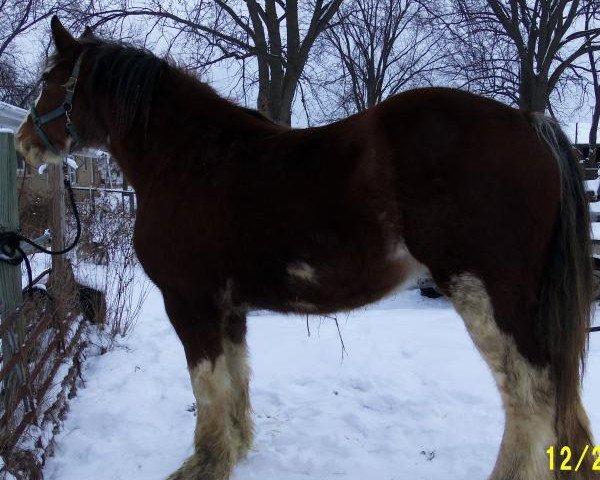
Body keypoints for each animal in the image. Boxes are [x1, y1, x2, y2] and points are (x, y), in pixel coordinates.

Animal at [16, 15, 592, 480]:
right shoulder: (229, 309)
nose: (22, 143)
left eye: (48, 81)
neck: (188, 159)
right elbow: (236, 378)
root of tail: (530, 123)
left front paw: (205, 462)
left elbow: (207, 385)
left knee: (532, 398)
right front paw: (236, 449)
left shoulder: (189, 304)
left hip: (490, 297)